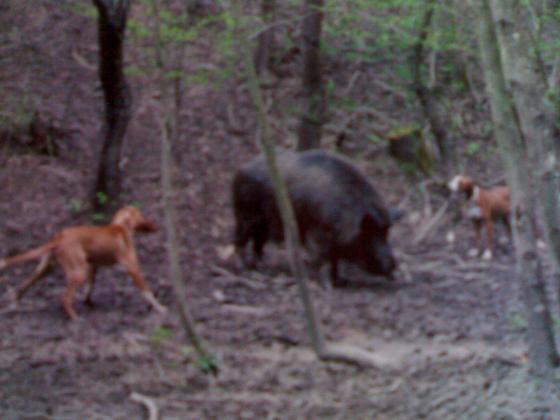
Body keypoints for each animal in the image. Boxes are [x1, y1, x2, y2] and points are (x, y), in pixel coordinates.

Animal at [0, 206, 166, 318]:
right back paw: (74, 317)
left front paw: (88, 303)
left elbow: (89, 289)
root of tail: (59, 237)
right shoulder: (132, 268)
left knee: (22, 288)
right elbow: (147, 292)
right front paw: (160, 308)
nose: (156, 225)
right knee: (65, 299)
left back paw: (13, 303)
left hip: (45, 269)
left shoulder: (93, 267)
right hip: (78, 273)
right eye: (142, 216)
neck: (120, 226)